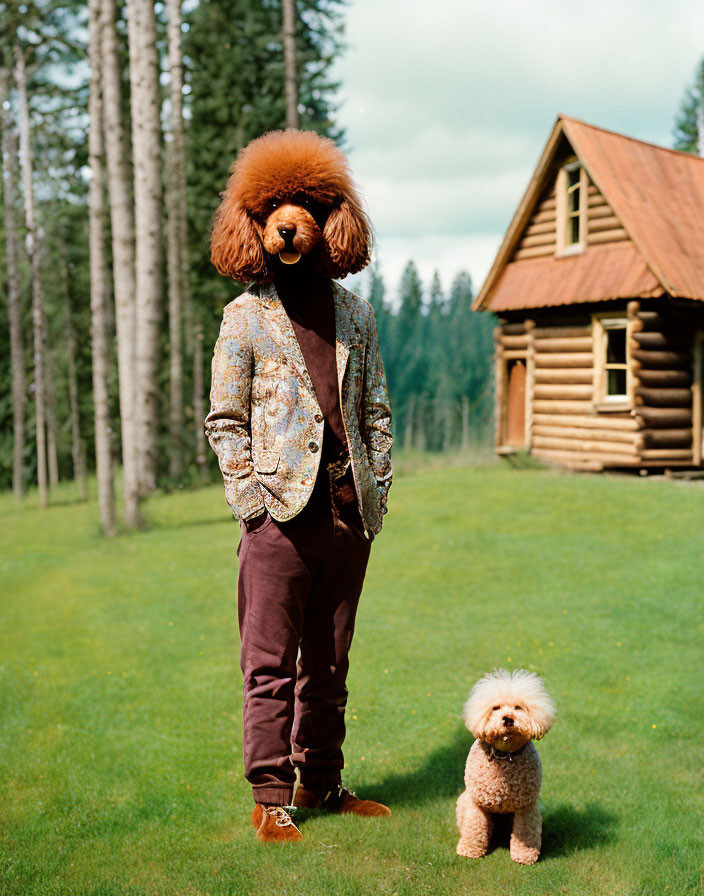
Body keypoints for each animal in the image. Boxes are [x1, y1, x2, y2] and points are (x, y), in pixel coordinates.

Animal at [456, 668, 556, 864]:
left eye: (518, 707)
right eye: (496, 707)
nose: (508, 719)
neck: (504, 755)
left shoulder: (526, 807)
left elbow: (525, 832)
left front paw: (525, 856)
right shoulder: (476, 804)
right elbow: (474, 826)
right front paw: (469, 850)